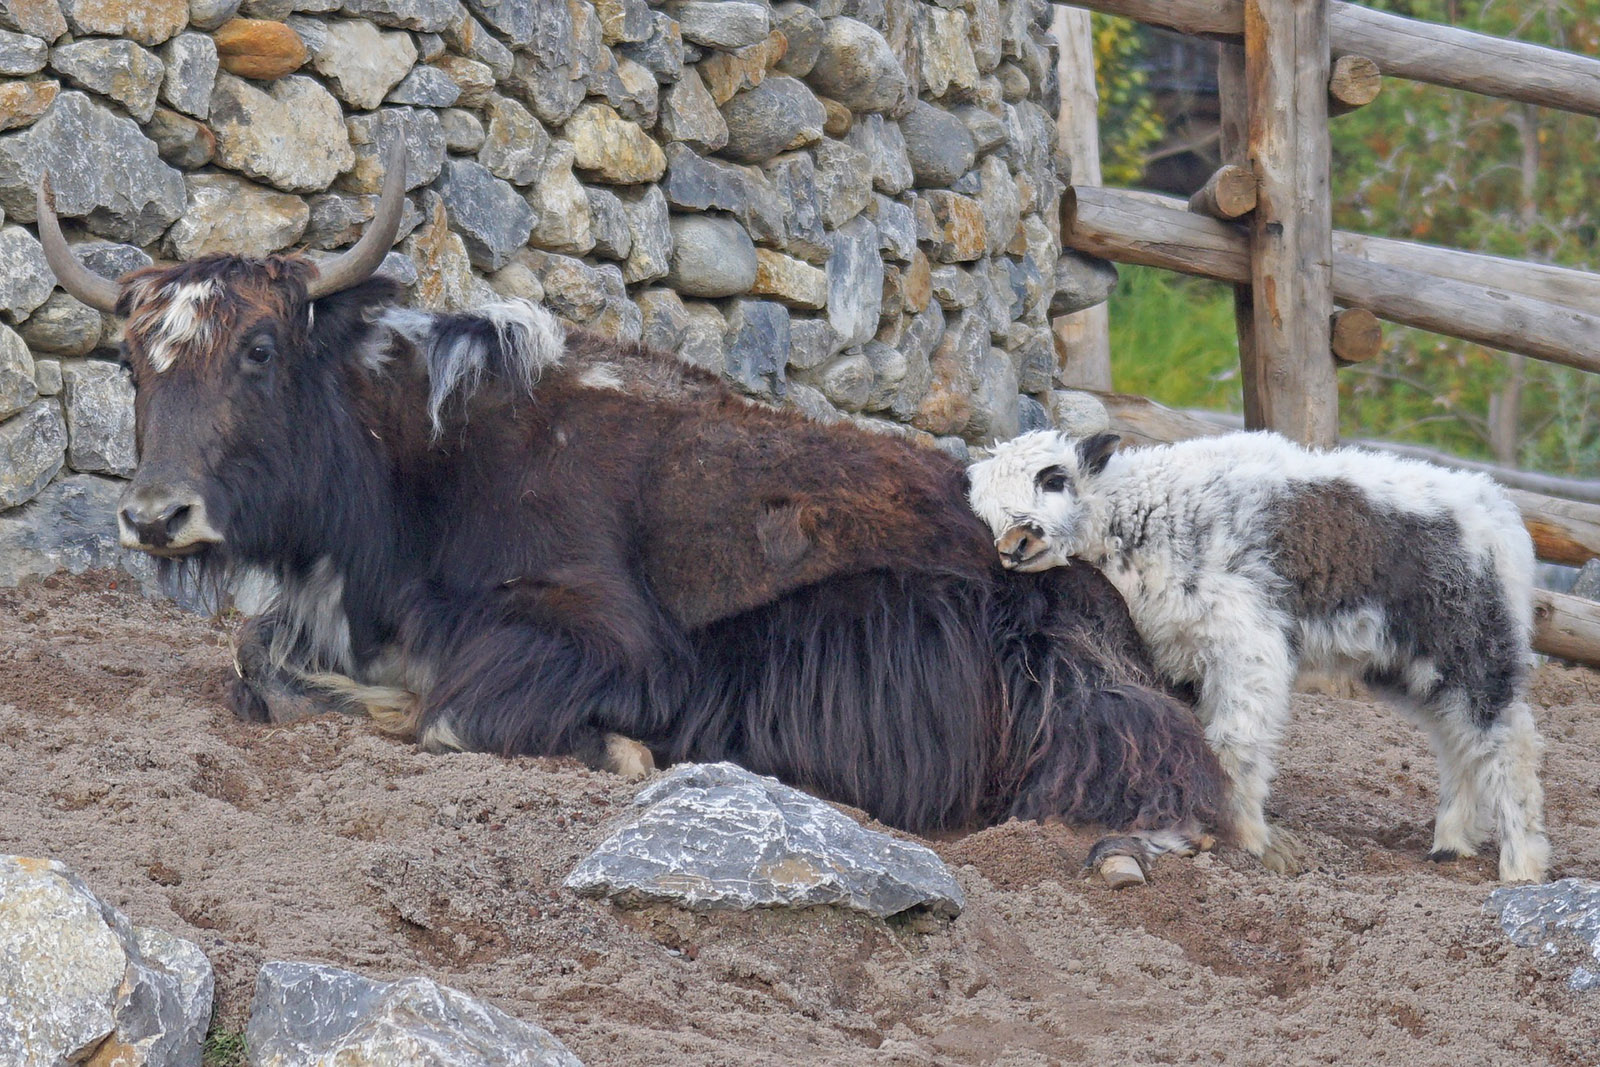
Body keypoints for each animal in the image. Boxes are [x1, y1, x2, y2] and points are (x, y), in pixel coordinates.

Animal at [966, 428, 1542, 883]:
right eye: (982, 506)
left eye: (1054, 479)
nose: (1017, 542)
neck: (1141, 516)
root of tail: (1498, 512)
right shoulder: (1180, 654)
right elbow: (1194, 742)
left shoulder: (1247, 644)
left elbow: (1232, 743)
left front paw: (1248, 840)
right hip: (1411, 664)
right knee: (1457, 742)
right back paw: (1451, 845)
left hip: (1473, 643)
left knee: (1508, 740)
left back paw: (1521, 866)